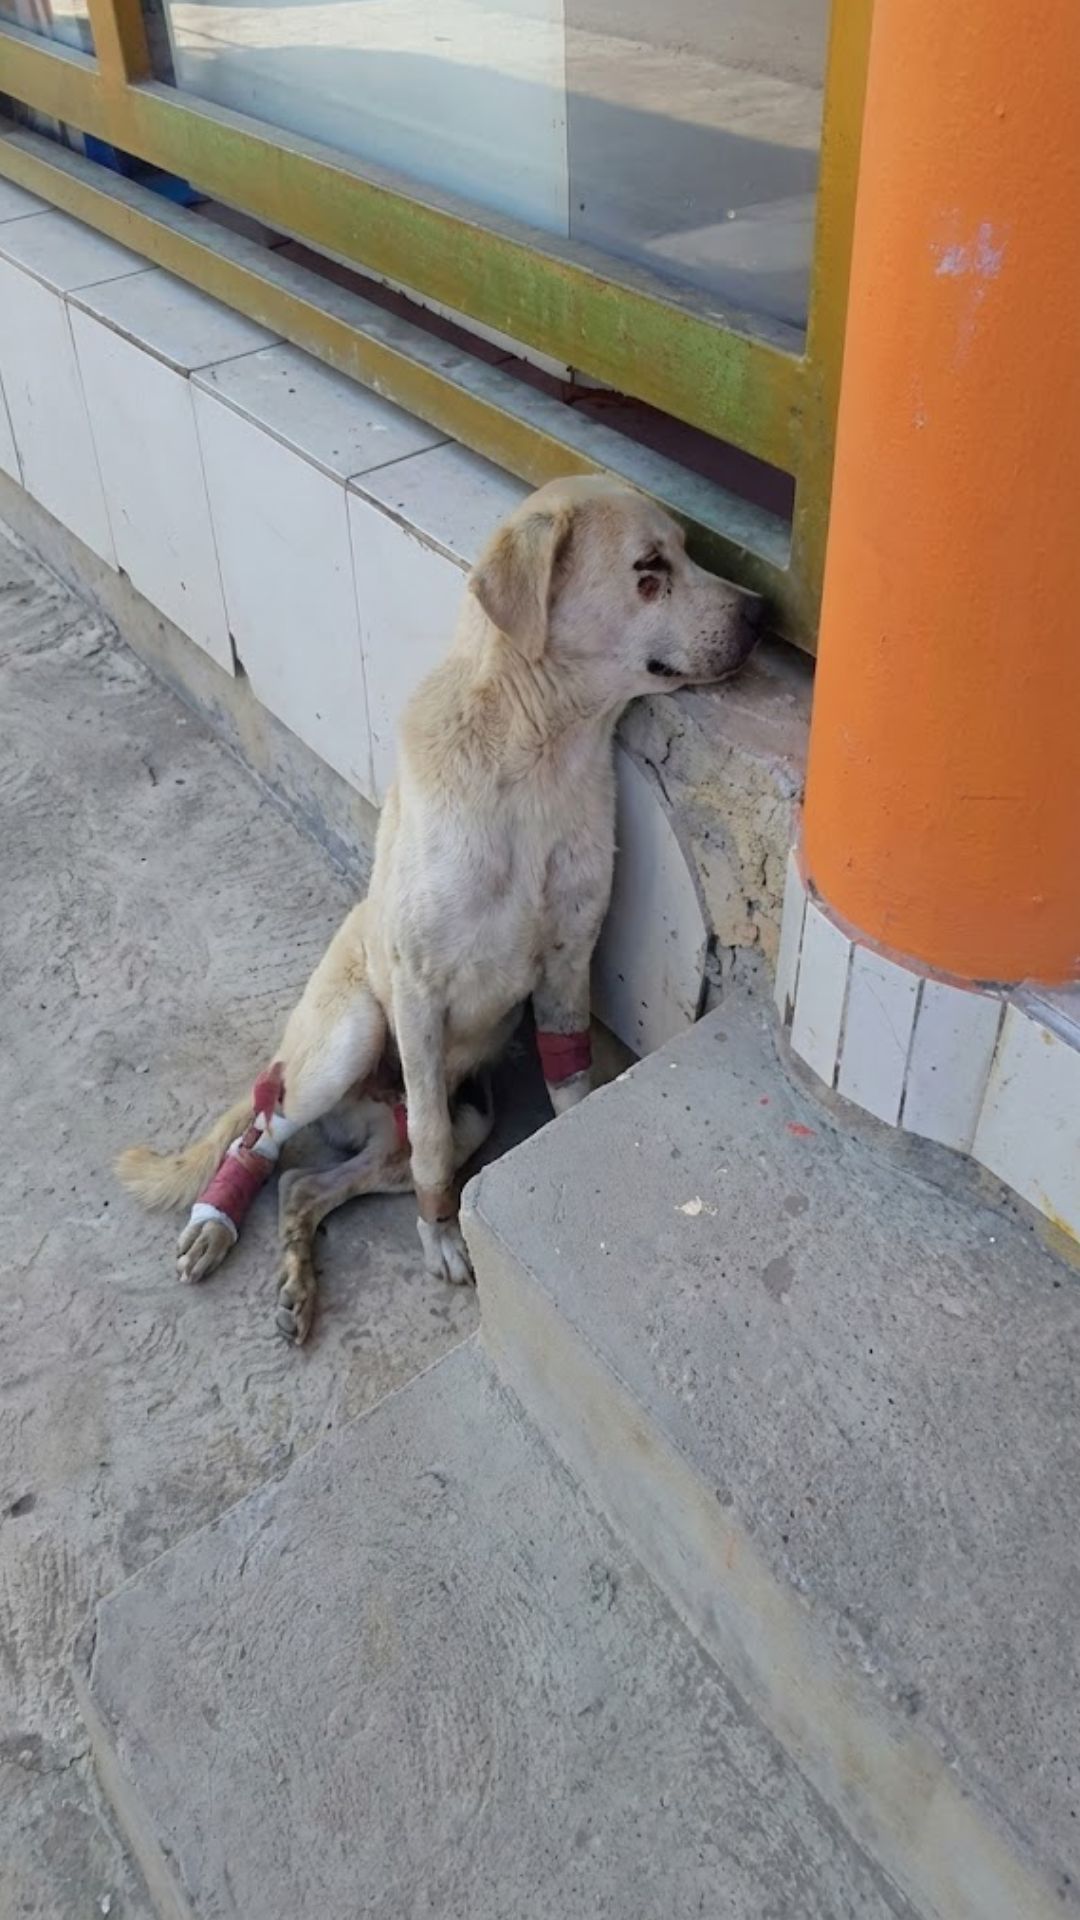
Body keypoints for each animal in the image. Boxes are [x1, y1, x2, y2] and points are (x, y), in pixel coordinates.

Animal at [117, 474, 761, 1342]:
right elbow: (426, 1147)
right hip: (348, 1039)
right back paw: (215, 1225)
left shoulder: (567, 967)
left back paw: (295, 1278)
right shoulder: (418, 995)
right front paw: (443, 1236)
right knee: (263, 1131)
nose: (762, 613)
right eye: (649, 569)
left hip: (469, 1118)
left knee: (306, 1185)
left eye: (691, 552)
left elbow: (569, 1089)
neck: (535, 760)